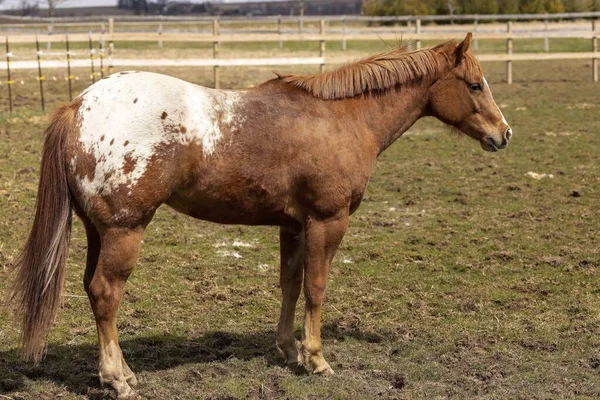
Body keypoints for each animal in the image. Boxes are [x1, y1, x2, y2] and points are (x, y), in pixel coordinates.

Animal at [11, 32, 510, 396]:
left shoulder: (293, 225)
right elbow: (316, 288)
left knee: (91, 290)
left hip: (98, 231)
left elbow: (290, 285)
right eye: (474, 85)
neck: (343, 118)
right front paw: (317, 358)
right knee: (105, 293)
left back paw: (119, 372)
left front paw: (289, 349)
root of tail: (79, 106)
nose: (503, 134)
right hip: (124, 230)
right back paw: (118, 379)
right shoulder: (327, 222)